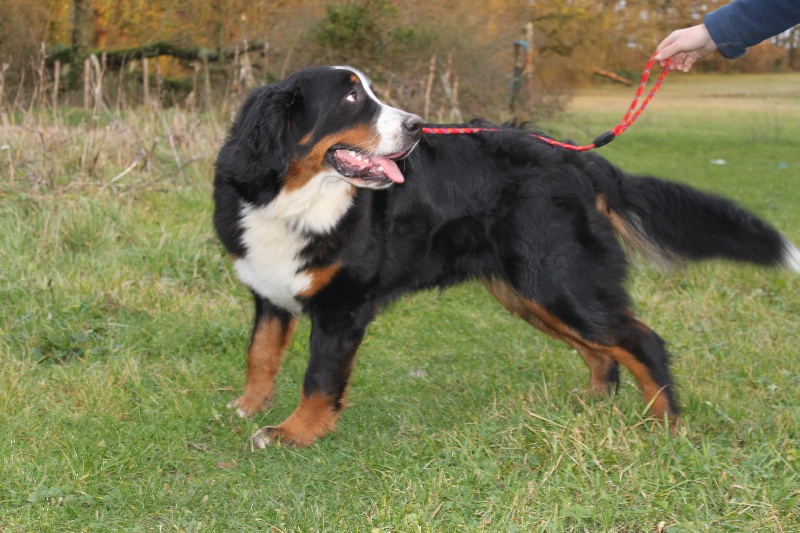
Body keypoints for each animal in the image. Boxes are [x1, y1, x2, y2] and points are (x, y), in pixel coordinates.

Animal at [212, 66, 800, 448]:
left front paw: (294, 432)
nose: (417, 125)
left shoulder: (343, 306)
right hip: (530, 291)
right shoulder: (269, 288)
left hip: (558, 279)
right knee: (603, 351)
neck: (295, 196)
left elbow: (320, 378)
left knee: (640, 341)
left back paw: (667, 428)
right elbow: (260, 354)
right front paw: (248, 406)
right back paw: (592, 405)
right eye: (352, 100)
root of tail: (575, 158)